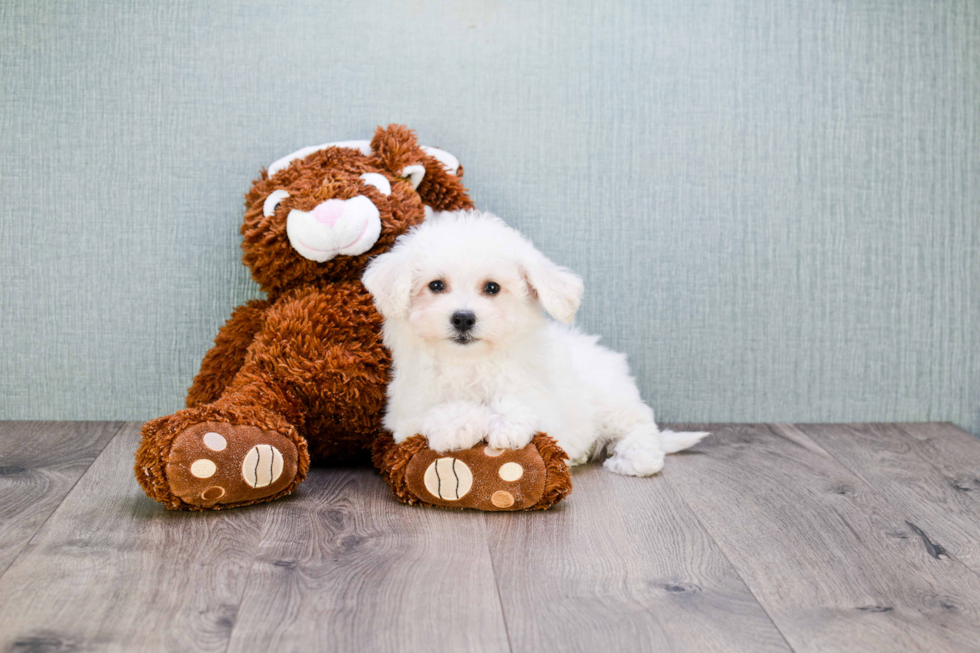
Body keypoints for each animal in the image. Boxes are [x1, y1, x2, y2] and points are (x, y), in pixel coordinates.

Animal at [360, 209, 704, 474]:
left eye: (492, 288)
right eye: (435, 285)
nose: (463, 318)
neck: (471, 362)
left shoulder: (545, 401)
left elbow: (522, 403)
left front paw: (505, 425)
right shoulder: (405, 412)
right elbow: (436, 411)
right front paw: (457, 424)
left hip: (612, 401)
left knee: (640, 425)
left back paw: (636, 458)